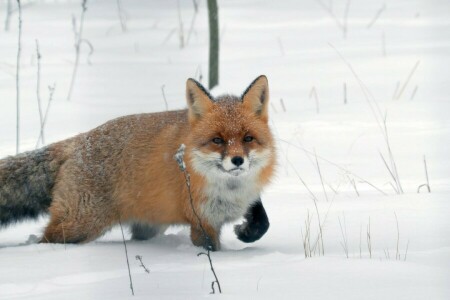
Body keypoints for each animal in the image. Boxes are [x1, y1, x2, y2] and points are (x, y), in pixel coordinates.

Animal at [0, 75, 276, 251]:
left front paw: (246, 231)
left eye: (248, 138)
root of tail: (78, 141)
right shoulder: (201, 221)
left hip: (147, 225)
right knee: (46, 241)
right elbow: (210, 250)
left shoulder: (247, 196)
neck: (229, 190)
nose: (237, 160)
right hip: (80, 226)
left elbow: (263, 221)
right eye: (217, 140)